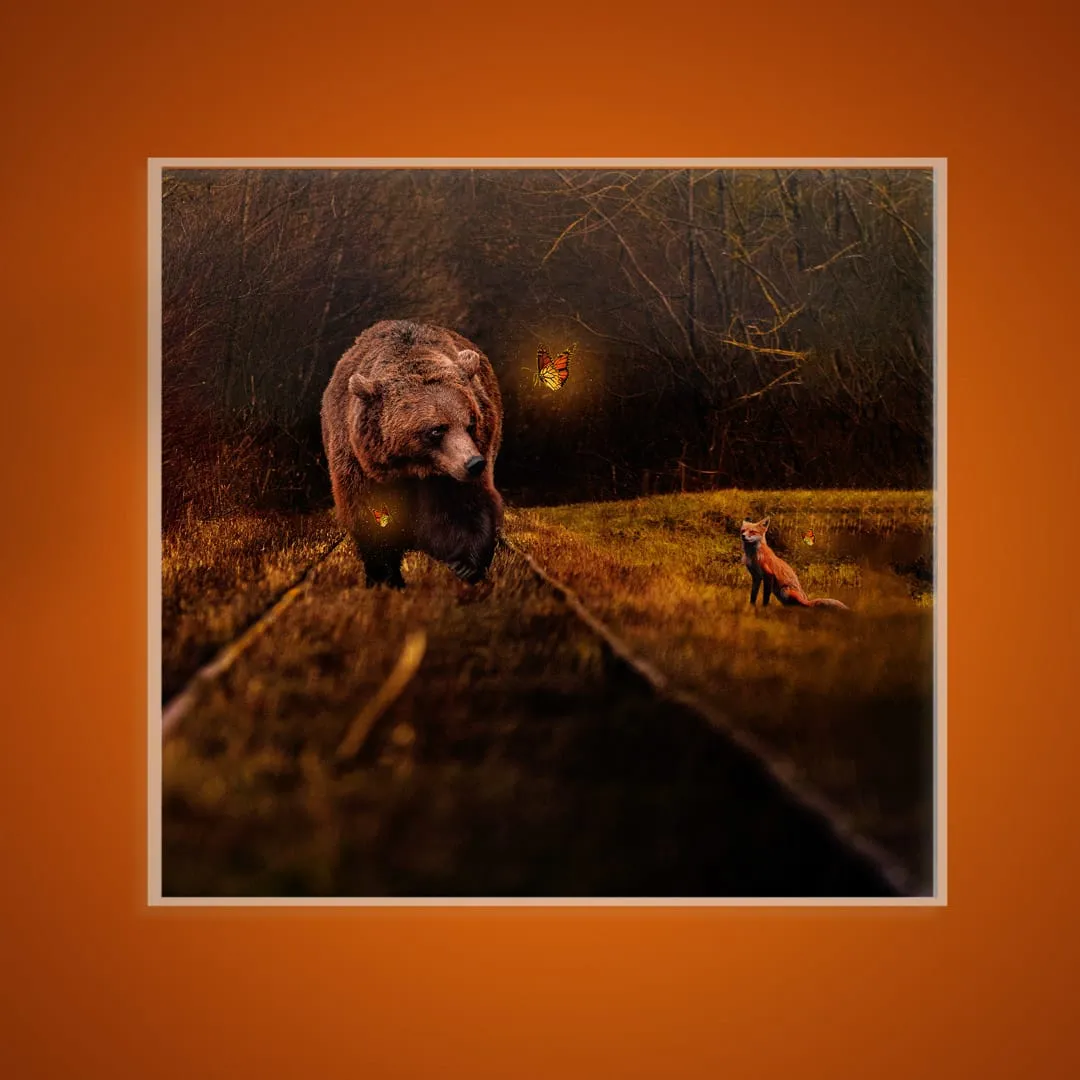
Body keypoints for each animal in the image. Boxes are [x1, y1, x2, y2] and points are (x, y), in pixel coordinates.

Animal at [320, 320, 504, 589]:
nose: (474, 463)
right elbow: (369, 513)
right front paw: (385, 575)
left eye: (471, 423)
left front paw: (465, 564)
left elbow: (464, 505)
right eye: (437, 429)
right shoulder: (358, 461)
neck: (414, 467)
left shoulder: (454, 470)